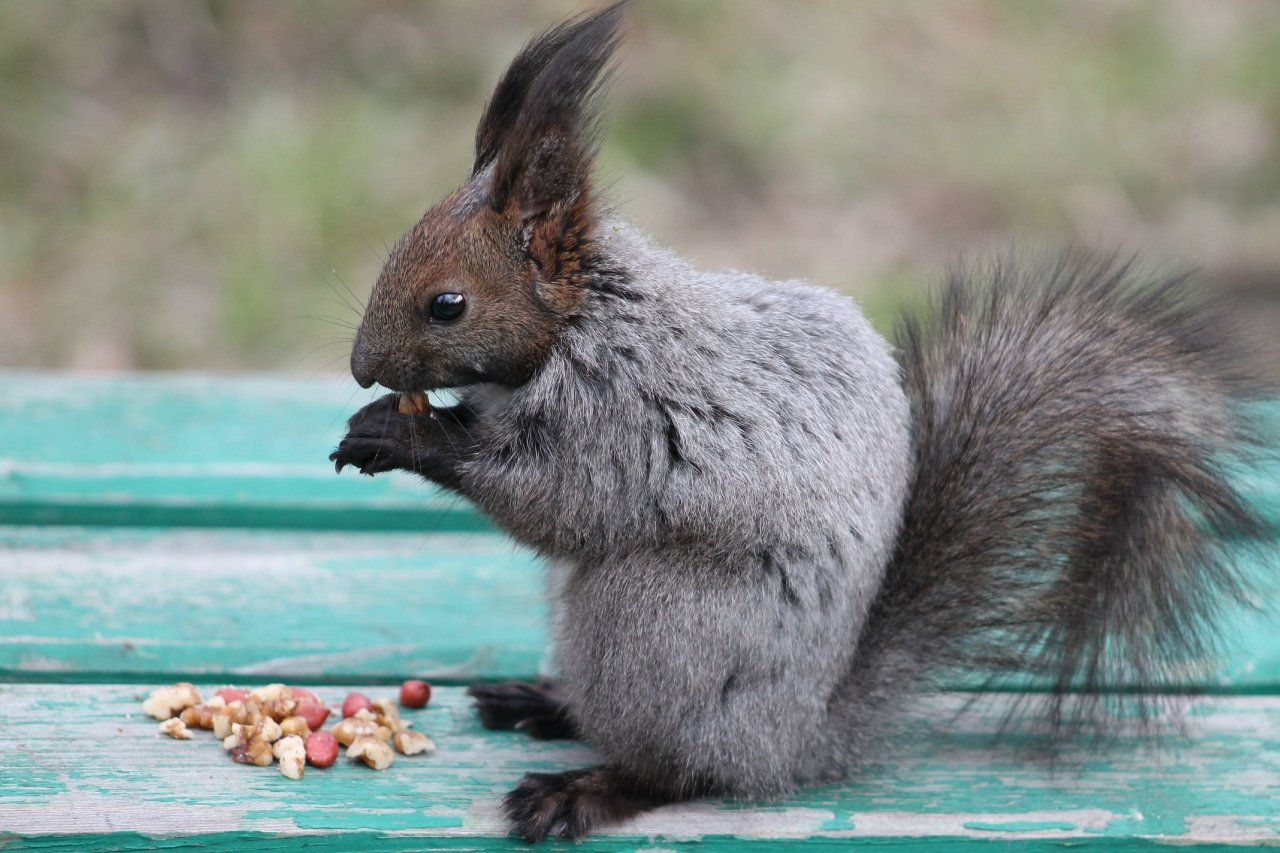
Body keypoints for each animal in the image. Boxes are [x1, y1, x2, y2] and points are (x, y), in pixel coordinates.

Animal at [330, 3, 1269, 840]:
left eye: (447, 304)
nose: (363, 366)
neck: (580, 321)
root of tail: (798, 735)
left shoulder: (620, 417)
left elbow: (555, 500)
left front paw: (403, 434)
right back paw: (548, 700)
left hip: (657, 624)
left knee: (681, 768)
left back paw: (589, 786)